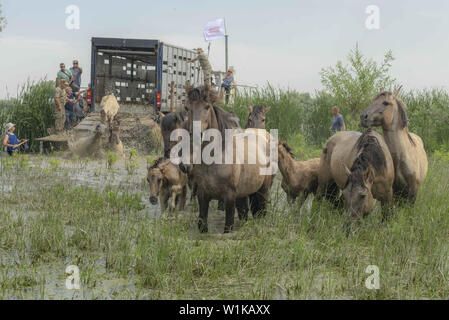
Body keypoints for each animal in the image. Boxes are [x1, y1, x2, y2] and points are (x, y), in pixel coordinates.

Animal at [185, 87, 272, 232]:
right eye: (187, 107)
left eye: (207, 106)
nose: (196, 135)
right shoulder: (202, 196)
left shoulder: (230, 197)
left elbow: (228, 225)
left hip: (263, 190)